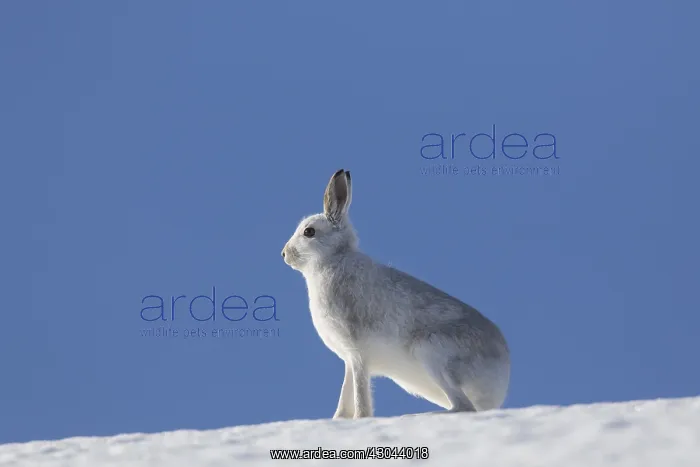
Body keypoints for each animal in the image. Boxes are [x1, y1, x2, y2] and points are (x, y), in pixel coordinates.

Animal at [281, 169, 510, 419]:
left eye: (309, 232)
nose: (284, 254)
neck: (334, 258)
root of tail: (501, 377)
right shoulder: (350, 360)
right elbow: (346, 392)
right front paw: (339, 419)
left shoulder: (358, 352)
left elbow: (360, 393)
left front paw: (361, 418)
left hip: (433, 354)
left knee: (463, 406)